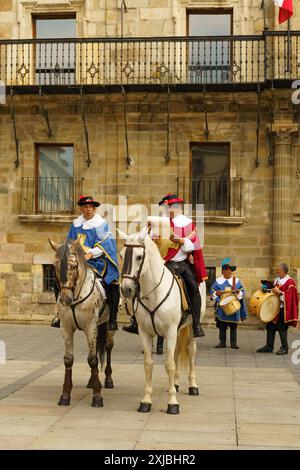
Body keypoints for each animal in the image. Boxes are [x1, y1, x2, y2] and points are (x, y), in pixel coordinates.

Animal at [119, 229, 206, 414]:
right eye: (122, 255)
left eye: (139, 256)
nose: (126, 289)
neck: (153, 292)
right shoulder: (145, 333)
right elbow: (148, 364)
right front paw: (146, 401)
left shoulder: (170, 331)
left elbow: (170, 365)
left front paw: (173, 403)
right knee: (177, 352)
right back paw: (176, 383)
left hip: (191, 328)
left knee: (191, 351)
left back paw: (192, 386)